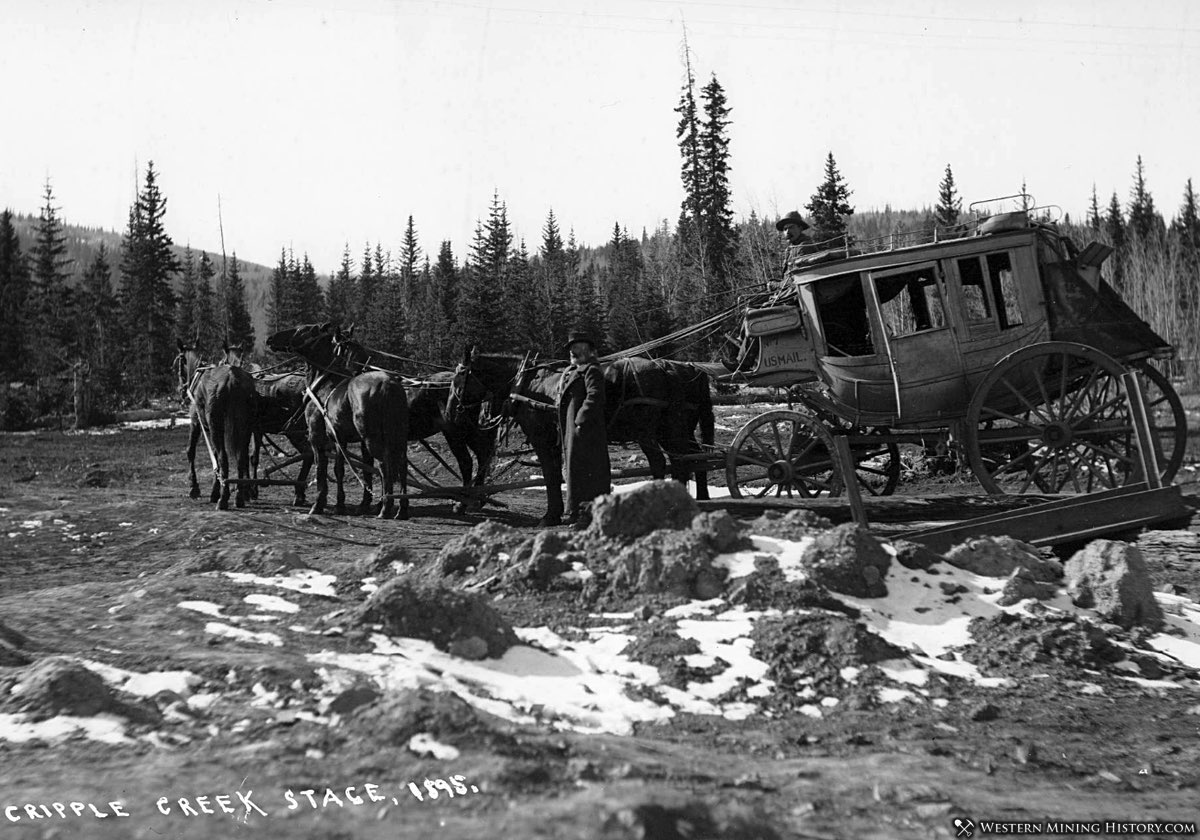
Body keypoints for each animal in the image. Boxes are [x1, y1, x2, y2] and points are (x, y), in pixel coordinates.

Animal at [174, 340, 255, 511]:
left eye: (179, 360)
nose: (180, 390)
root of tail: (233, 379)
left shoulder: (196, 422)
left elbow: (191, 451)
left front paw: (195, 488)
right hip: (246, 427)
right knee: (242, 457)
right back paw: (240, 496)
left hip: (215, 426)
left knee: (223, 458)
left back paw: (223, 499)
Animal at [265, 324, 410, 516]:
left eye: (300, 330)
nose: (270, 339)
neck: (324, 384)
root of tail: (388, 385)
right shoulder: (339, 439)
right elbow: (339, 469)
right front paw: (340, 504)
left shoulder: (316, 437)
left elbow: (320, 468)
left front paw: (318, 503)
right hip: (398, 436)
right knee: (401, 465)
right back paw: (402, 508)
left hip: (372, 439)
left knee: (384, 465)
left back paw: (386, 506)